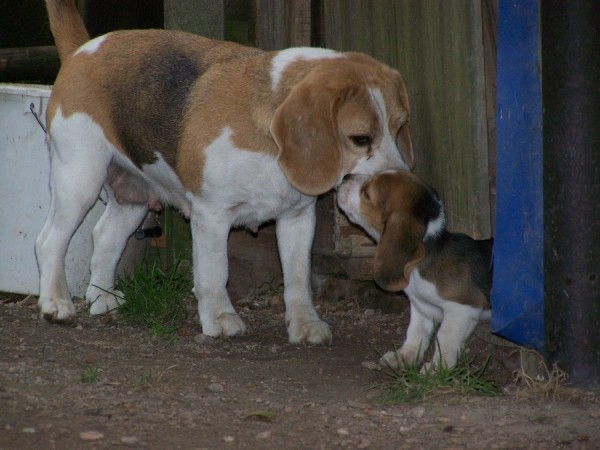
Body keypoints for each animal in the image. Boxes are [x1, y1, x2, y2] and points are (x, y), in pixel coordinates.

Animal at [36, 0, 412, 344]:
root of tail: (83, 49)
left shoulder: (297, 217)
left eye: (398, 128)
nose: (399, 180)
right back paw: (55, 303)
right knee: (49, 240)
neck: (270, 143)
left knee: (105, 236)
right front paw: (219, 317)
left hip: (135, 197)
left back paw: (101, 298)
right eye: (360, 138)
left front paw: (305, 324)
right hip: (79, 180)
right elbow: (216, 271)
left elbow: (297, 278)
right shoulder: (212, 214)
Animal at [338, 169, 492, 370]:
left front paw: (437, 368)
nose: (346, 176)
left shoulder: (462, 307)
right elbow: (416, 331)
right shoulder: (421, 306)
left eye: (367, 193)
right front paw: (405, 356)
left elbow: (445, 338)